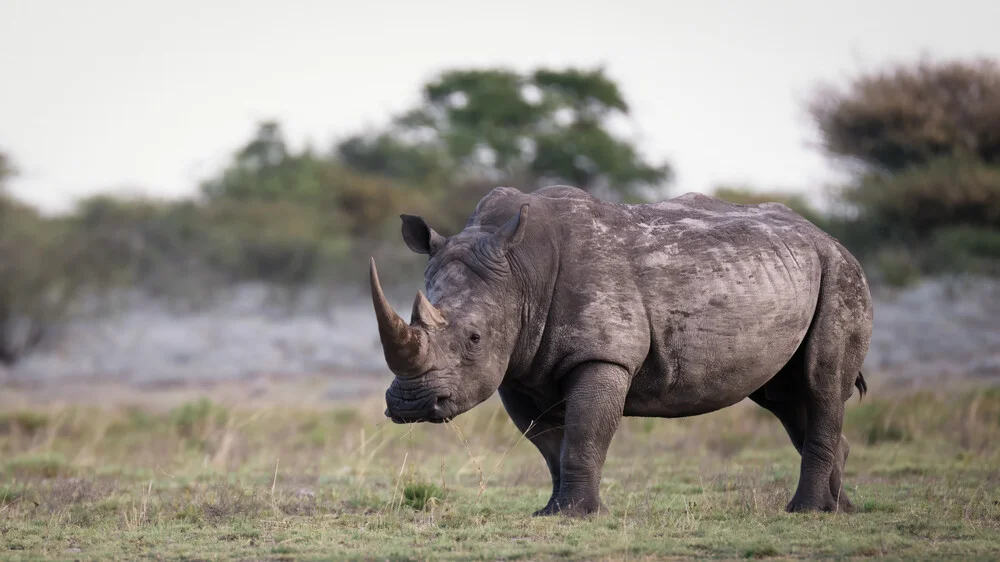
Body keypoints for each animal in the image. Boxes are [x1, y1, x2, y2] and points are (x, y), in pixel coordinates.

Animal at [372, 183, 872, 512]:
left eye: (474, 338)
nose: (411, 404)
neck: (520, 271)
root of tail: (827, 235)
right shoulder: (517, 366)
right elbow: (548, 442)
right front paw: (553, 511)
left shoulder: (604, 354)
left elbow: (584, 433)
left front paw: (577, 515)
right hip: (794, 272)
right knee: (785, 397)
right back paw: (838, 511)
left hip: (841, 273)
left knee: (821, 382)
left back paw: (806, 511)